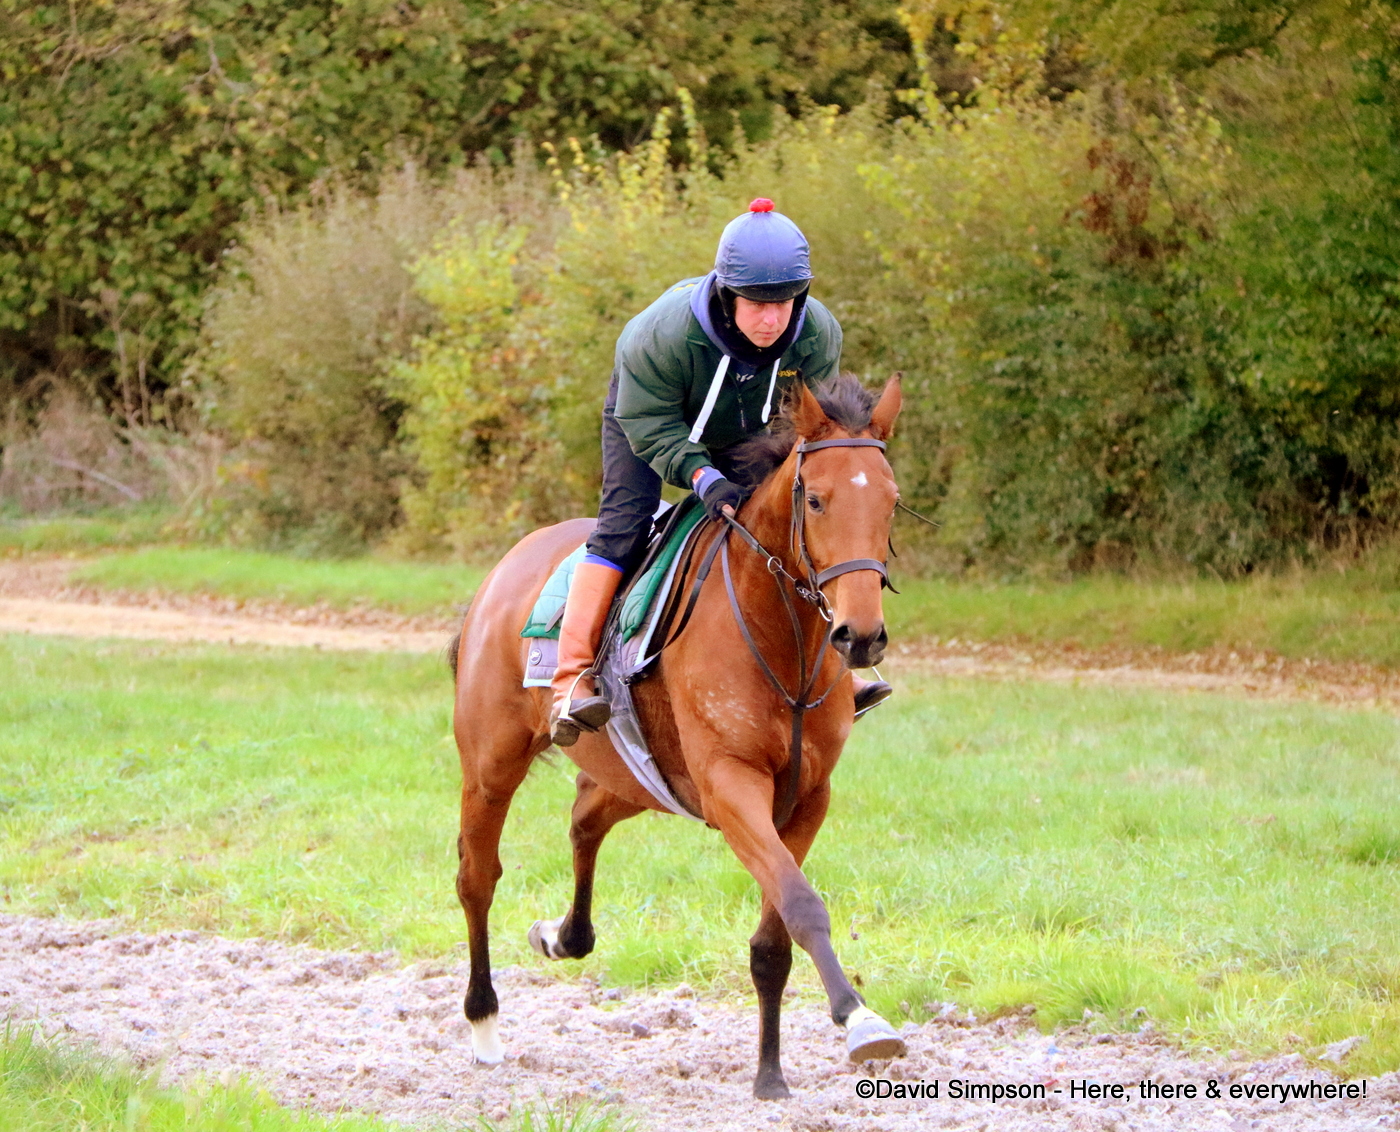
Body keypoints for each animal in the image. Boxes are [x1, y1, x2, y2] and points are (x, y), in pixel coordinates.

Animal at [450, 372, 906, 1099]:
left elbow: (775, 938)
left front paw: (770, 1074)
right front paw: (860, 1019)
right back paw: (485, 1021)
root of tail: (505, 570)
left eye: (891, 502)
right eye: (816, 499)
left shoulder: (807, 797)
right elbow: (802, 904)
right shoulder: (731, 785)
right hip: (492, 759)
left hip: (639, 773)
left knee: (585, 816)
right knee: (477, 876)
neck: (783, 641)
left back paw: (562, 935)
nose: (860, 636)